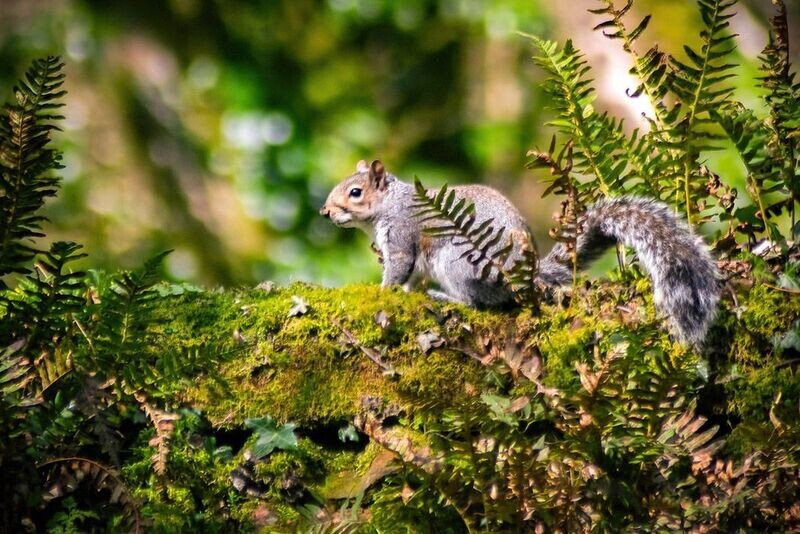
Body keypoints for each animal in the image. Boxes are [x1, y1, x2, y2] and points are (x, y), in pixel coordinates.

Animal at [322, 158, 720, 348]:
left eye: (355, 192)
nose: (325, 212)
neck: (390, 204)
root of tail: (526, 275)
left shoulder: (403, 235)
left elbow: (398, 268)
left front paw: (382, 292)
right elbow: (409, 278)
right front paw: (403, 293)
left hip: (458, 263)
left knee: (478, 303)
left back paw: (445, 297)